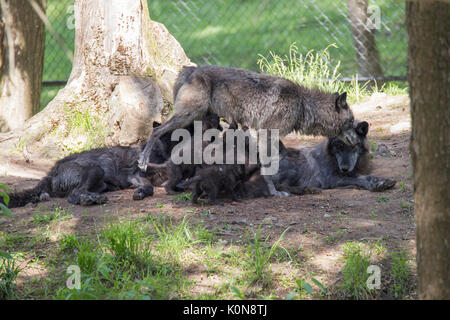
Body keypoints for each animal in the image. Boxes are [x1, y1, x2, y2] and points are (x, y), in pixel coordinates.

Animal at [139, 65, 356, 195]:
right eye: (351, 122)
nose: (356, 141)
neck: (302, 104)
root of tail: (190, 69)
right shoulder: (266, 135)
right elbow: (268, 166)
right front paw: (274, 192)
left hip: (196, 120)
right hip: (187, 116)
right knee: (156, 131)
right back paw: (143, 161)